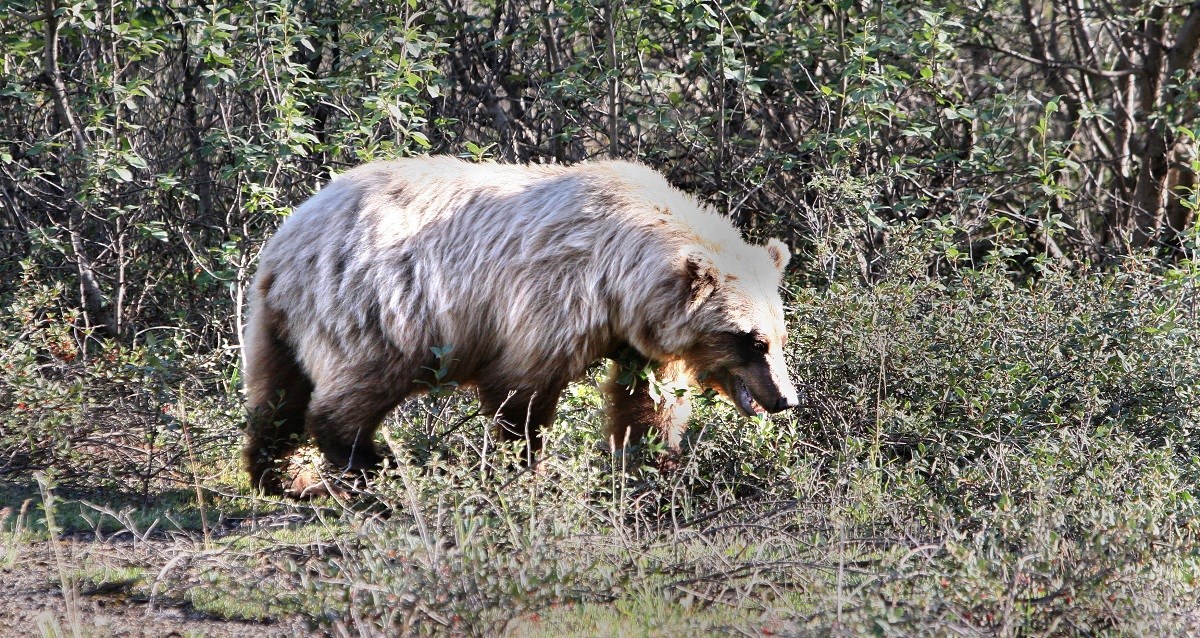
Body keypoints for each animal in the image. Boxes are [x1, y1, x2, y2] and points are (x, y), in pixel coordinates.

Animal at [241, 157, 796, 496]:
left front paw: (655, 462)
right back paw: (368, 465)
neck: (620, 281)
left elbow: (647, 400)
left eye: (779, 335)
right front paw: (529, 467)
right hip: (380, 307)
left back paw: (278, 474)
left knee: (277, 395)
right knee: (355, 388)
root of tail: (286, 241)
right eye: (751, 340)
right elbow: (522, 391)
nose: (785, 398)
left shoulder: (638, 336)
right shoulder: (552, 296)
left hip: (275, 321)